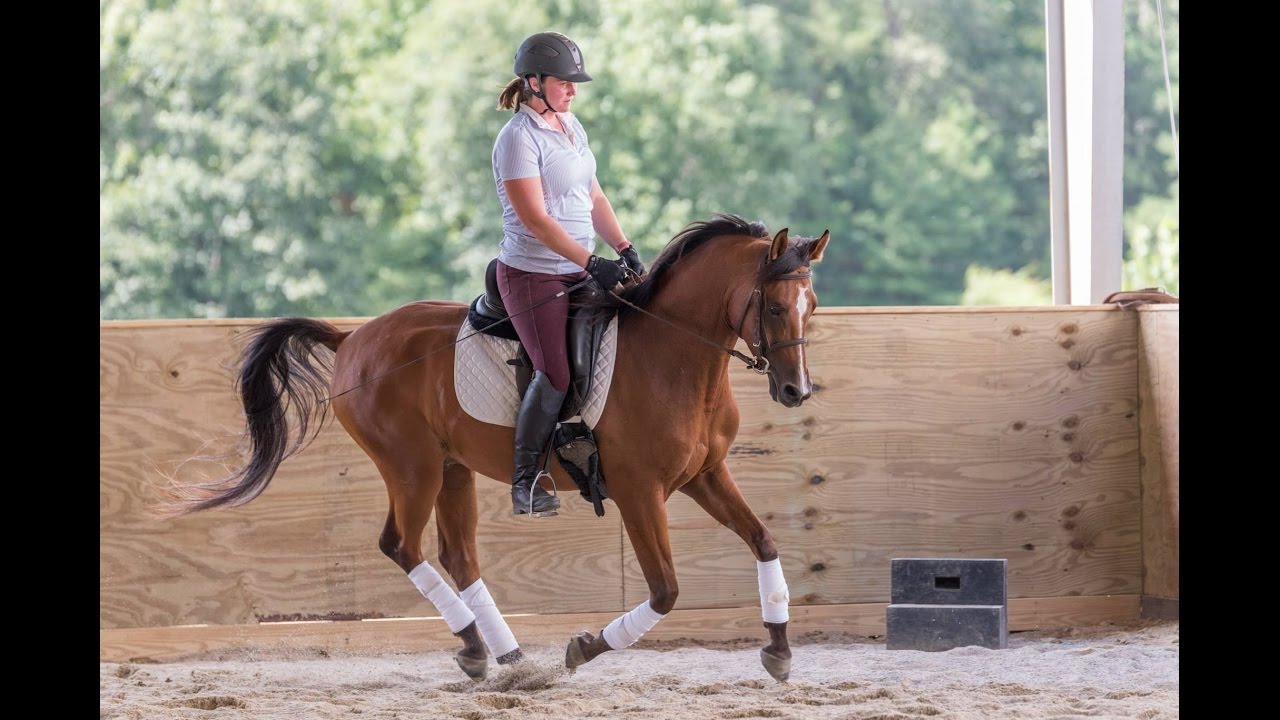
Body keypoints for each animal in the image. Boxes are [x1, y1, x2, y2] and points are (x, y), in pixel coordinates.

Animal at [159, 213, 829, 682]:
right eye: (773, 307)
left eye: (812, 306)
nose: (795, 390)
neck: (675, 357)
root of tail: (353, 339)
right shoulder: (641, 491)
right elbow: (665, 590)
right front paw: (584, 647)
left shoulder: (705, 474)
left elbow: (765, 542)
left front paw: (778, 649)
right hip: (412, 466)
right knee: (401, 545)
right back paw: (480, 647)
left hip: (452, 469)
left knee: (459, 557)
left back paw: (506, 657)